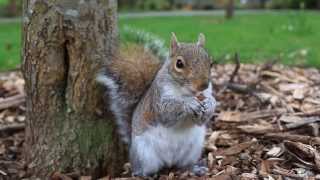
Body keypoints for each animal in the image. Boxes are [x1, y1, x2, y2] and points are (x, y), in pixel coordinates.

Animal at [97, 33, 218, 176]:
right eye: (179, 64)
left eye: (210, 63)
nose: (203, 85)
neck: (186, 91)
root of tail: (169, 161)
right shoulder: (158, 100)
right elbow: (168, 112)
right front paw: (189, 103)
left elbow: (201, 119)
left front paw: (210, 103)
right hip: (144, 154)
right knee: (142, 168)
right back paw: (143, 174)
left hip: (192, 150)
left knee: (183, 165)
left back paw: (194, 168)